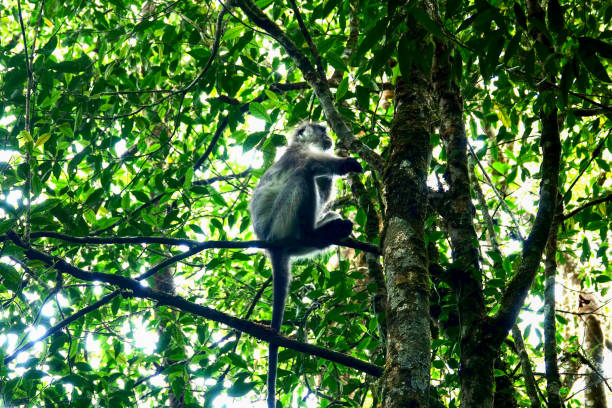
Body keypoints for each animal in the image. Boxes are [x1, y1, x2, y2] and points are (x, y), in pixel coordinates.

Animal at [250, 121, 364, 408]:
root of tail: (271, 245)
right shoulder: (297, 153)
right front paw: (346, 163)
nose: (328, 136)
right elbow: (312, 165)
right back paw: (316, 232)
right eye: (321, 129)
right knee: (304, 174)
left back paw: (330, 231)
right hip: (281, 223)